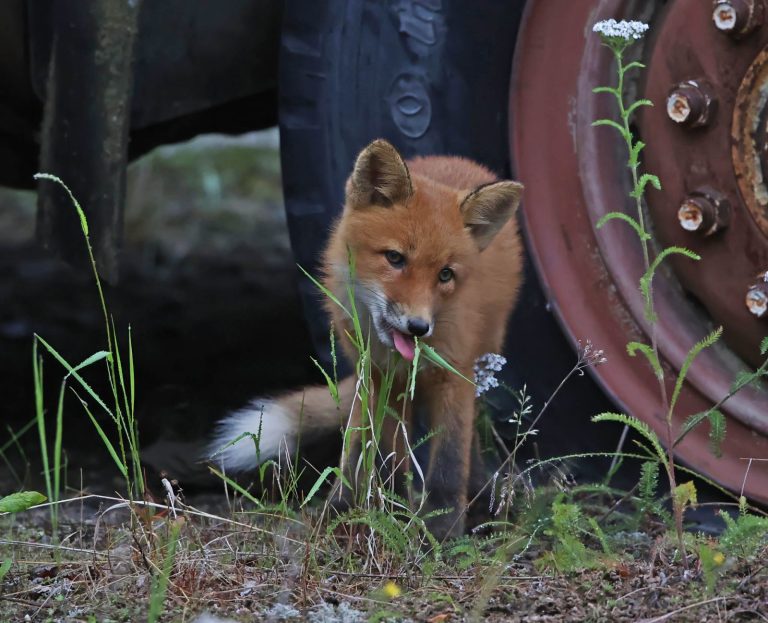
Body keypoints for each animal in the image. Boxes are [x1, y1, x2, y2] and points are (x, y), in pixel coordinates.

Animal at [209, 139, 524, 539]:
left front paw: (440, 530)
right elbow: (360, 449)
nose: (418, 327)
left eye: (445, 274)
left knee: (469, 440)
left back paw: (479, 500)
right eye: (395, 258)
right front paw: (347, 512)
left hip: (481, 359)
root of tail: (453, 160)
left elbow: (449, 461)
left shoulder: (453, 372)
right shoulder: (371, 373)